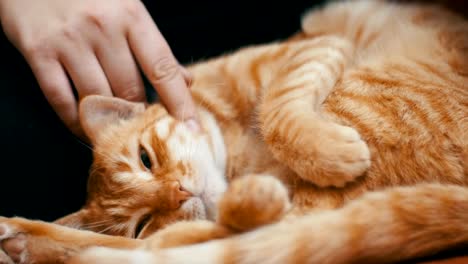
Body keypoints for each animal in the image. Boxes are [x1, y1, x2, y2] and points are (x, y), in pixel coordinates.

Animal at [0, 0, 468, 262]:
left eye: (145, 159)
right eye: (142, 220)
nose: (179, 194)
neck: (241, 157)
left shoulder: (316, 47)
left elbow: (278, 109)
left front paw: (328, 152)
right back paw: (24, 240)